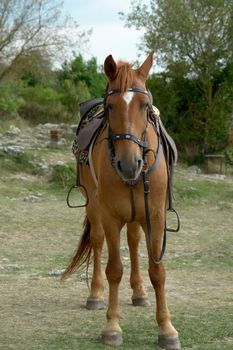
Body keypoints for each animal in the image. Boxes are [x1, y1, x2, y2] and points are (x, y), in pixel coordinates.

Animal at [62, 52, 181, 350]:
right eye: (111, 106)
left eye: (145, 105)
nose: (129, 164)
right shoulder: (111, 217)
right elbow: (114, 269)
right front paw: (112, 327)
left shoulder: (155, 216)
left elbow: (158, 271)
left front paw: (167, 329)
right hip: (94, 207)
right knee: (97, 242)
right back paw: (95, 295)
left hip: (138, 214)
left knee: (134, 242)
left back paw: (139, 292)